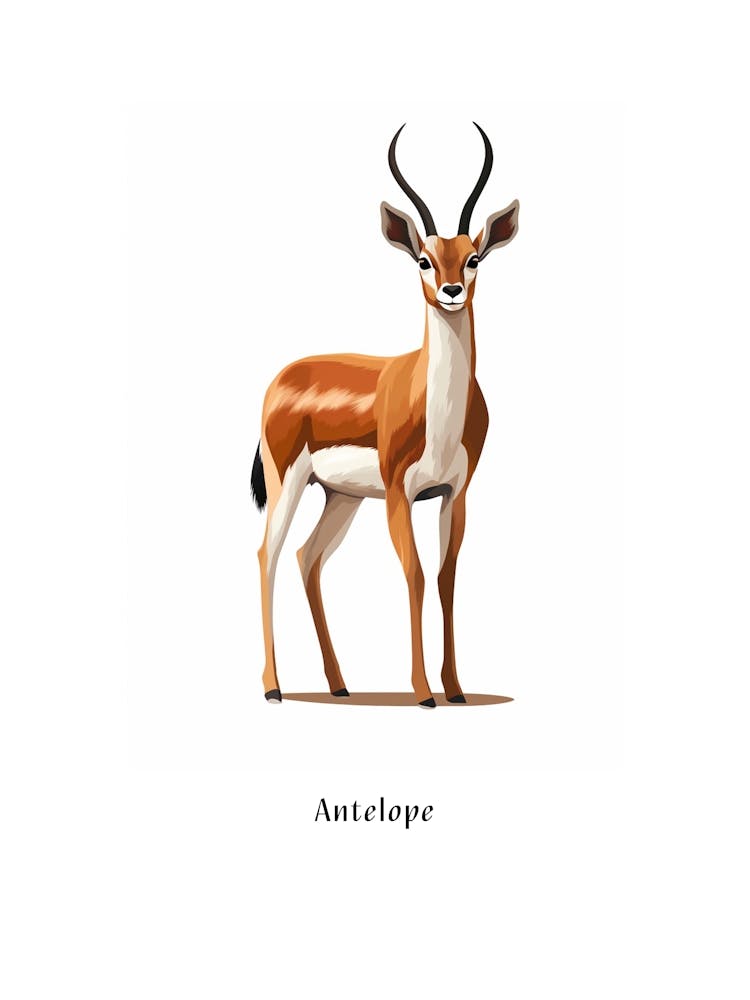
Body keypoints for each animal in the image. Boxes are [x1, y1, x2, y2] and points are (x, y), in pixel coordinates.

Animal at [251, 123, 519, 707]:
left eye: (474, 258)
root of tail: (282, 377)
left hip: (342, 496)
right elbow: (415, 574)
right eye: (423, 259)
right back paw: (274, 687)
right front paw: (422, 691)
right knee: (268, 554)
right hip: (289, 483)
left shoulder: (454, 494)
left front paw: (455, 688)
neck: (436, 409)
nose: (450, 291)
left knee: (308, 558)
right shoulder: (399, 493)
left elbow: (445, 578)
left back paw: (339, 683)